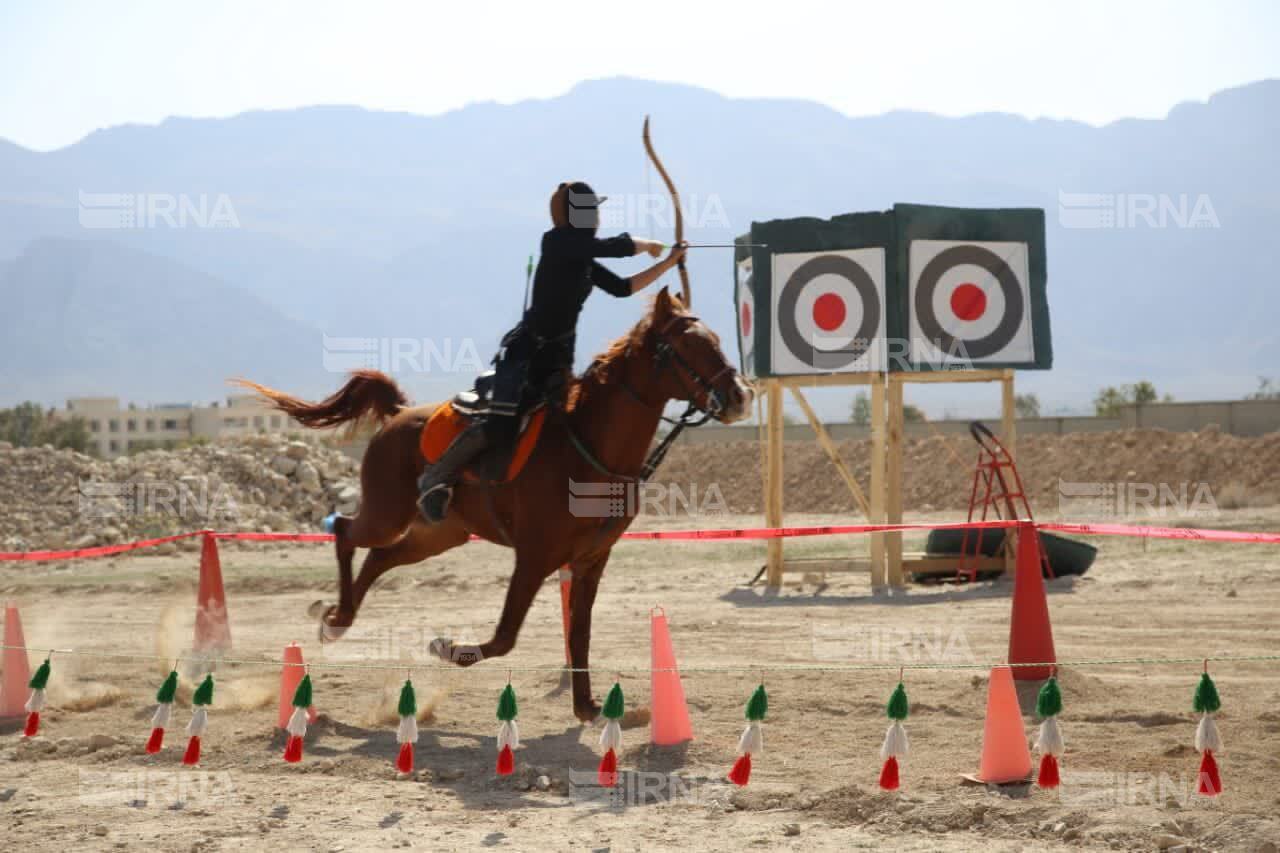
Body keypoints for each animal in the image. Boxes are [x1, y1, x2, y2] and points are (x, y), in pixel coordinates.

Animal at [236, 285, 752, 717]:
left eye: (717, 341)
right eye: (689, 347)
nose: (741, 396)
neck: (589, 448)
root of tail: (399, 414)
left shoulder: (591, 560)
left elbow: (579, 634)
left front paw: (586, 707)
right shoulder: (535, 557)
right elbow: (505, 637)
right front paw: (449, 648)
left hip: (440, 534)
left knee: (379, 558)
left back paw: (340, 620)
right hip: (388, 514)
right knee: (345, 532)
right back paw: (337, 619)